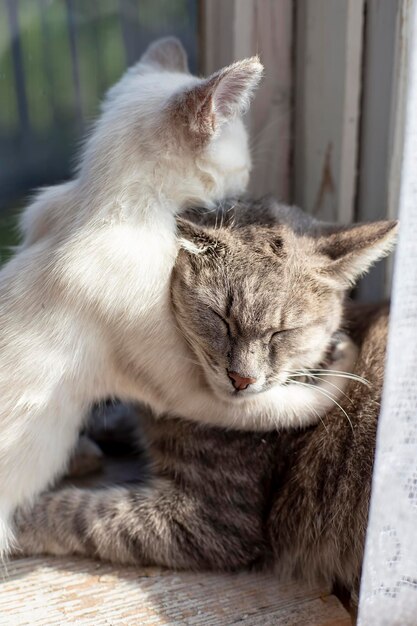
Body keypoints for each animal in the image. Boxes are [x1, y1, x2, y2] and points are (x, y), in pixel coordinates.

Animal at [0, 39, 352, 552]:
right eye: (245, 166)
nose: (244, 191)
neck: (100, 204)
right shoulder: (191, 387)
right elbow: (279, 405)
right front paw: (344, 365)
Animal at [13, 199, 396, 600]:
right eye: (221, 318)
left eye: (282, 332)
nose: (242, 379)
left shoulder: (208, 521)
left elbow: (79, 514)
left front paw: (17, 522)